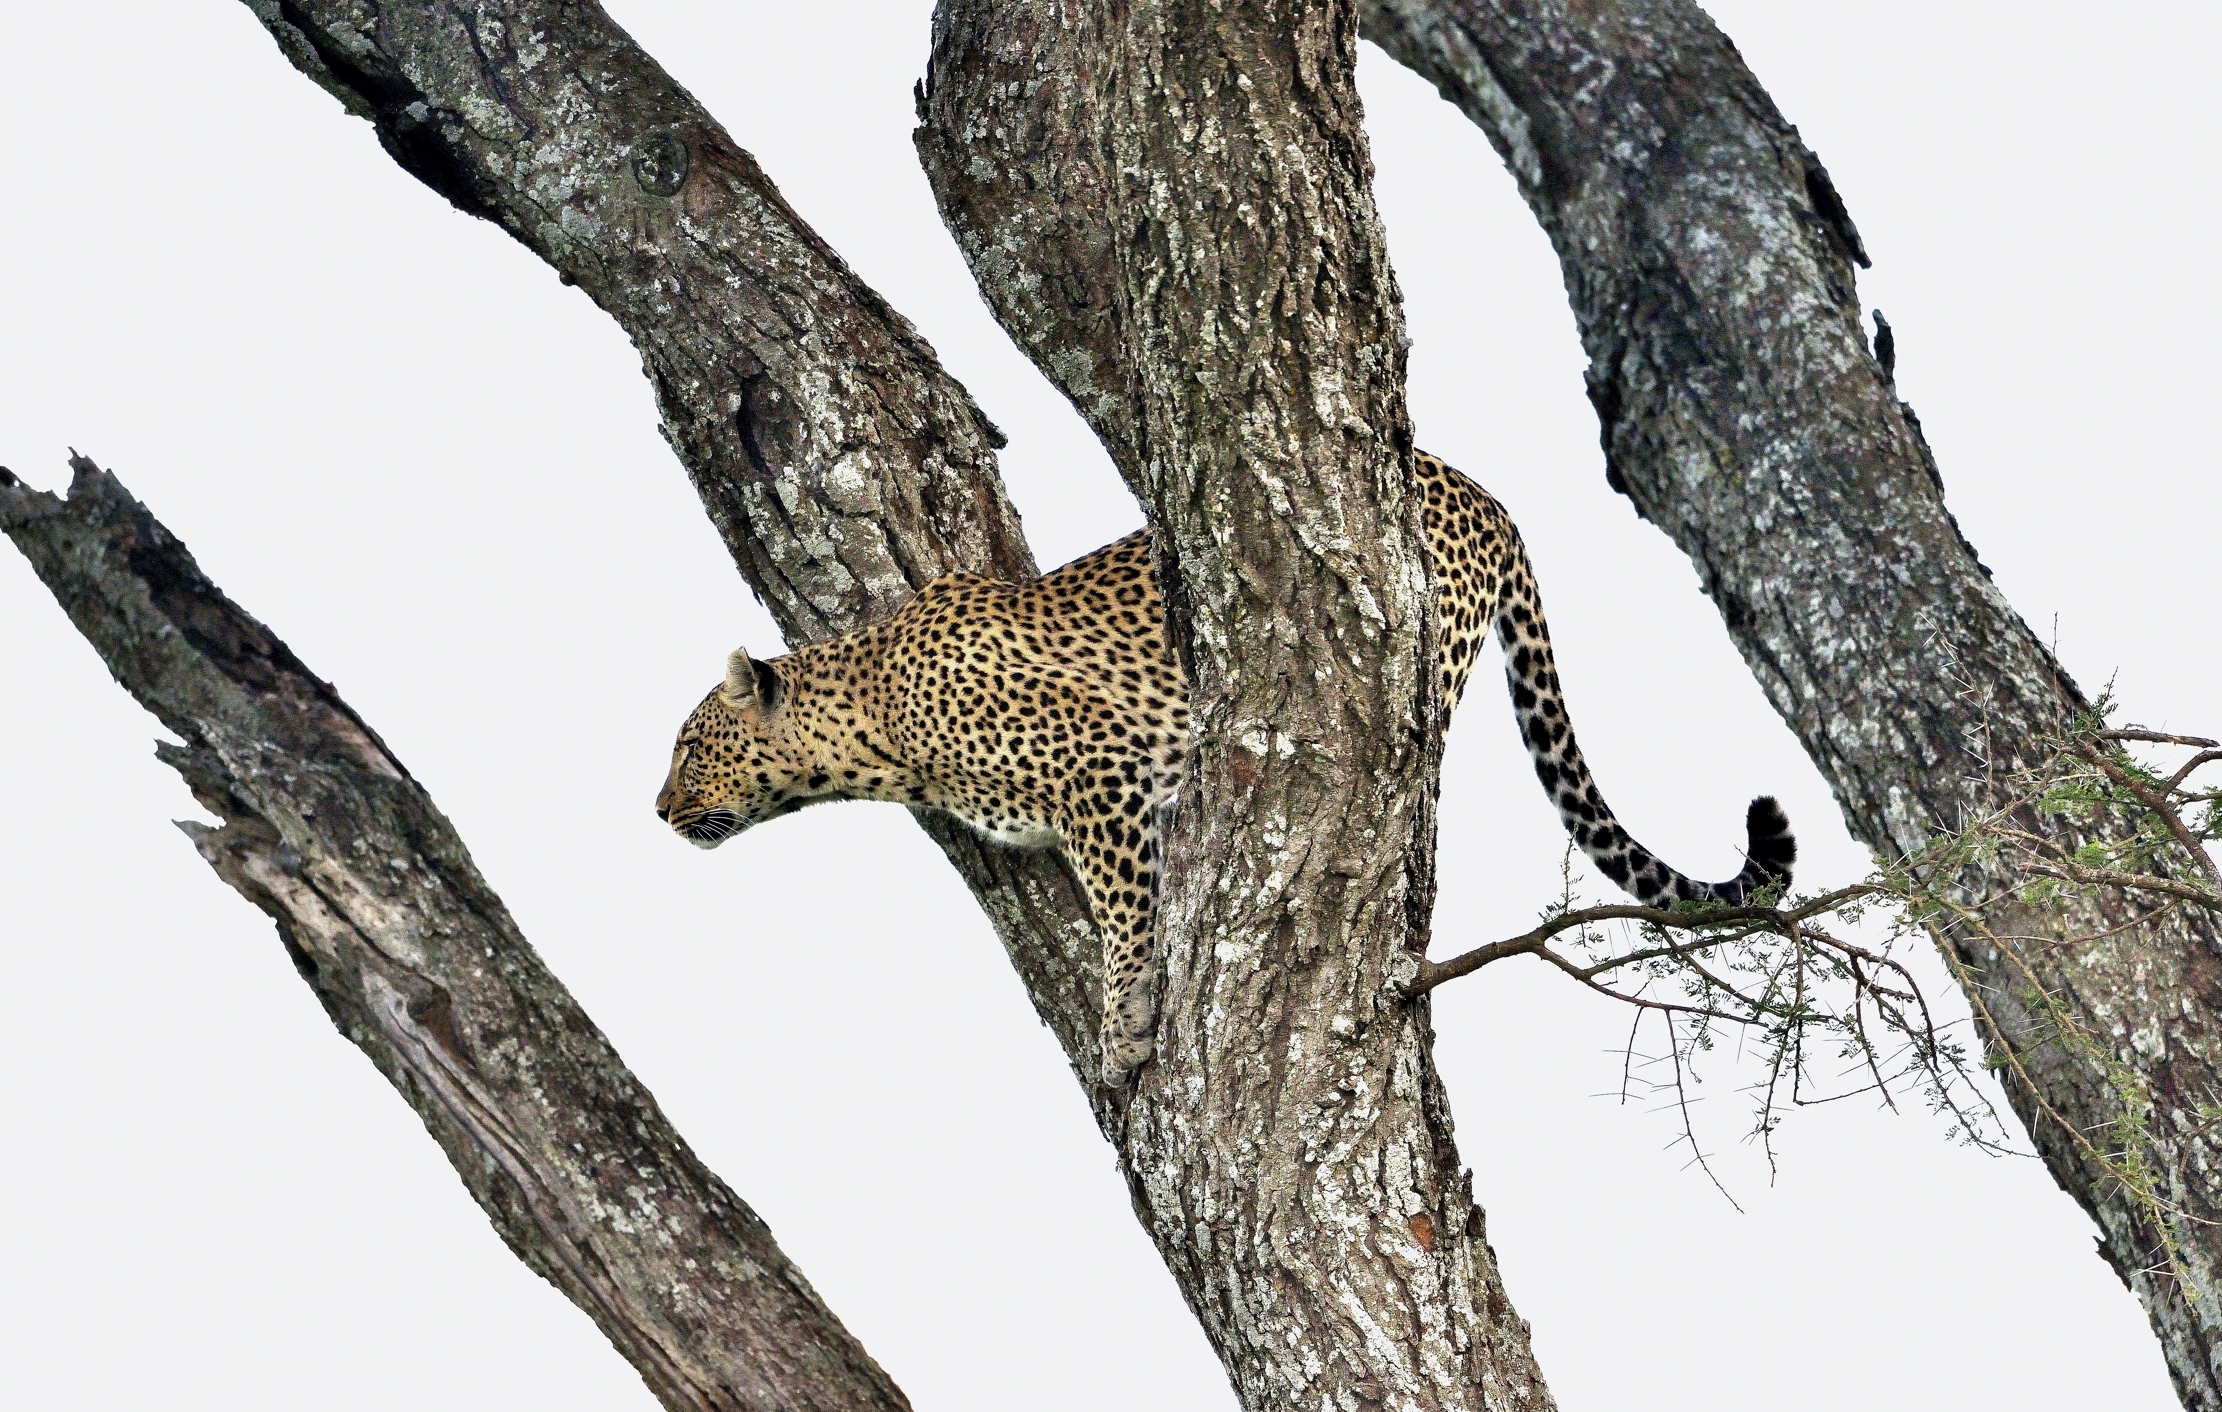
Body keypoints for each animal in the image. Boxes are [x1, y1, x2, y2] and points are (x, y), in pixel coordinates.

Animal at [655, 452, 1796, 1084]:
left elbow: (1128, 920)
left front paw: (1124, 1027)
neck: (875, 728)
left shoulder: (1105, 776)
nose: (656, 809)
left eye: (686, 745)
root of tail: (1483, 491)